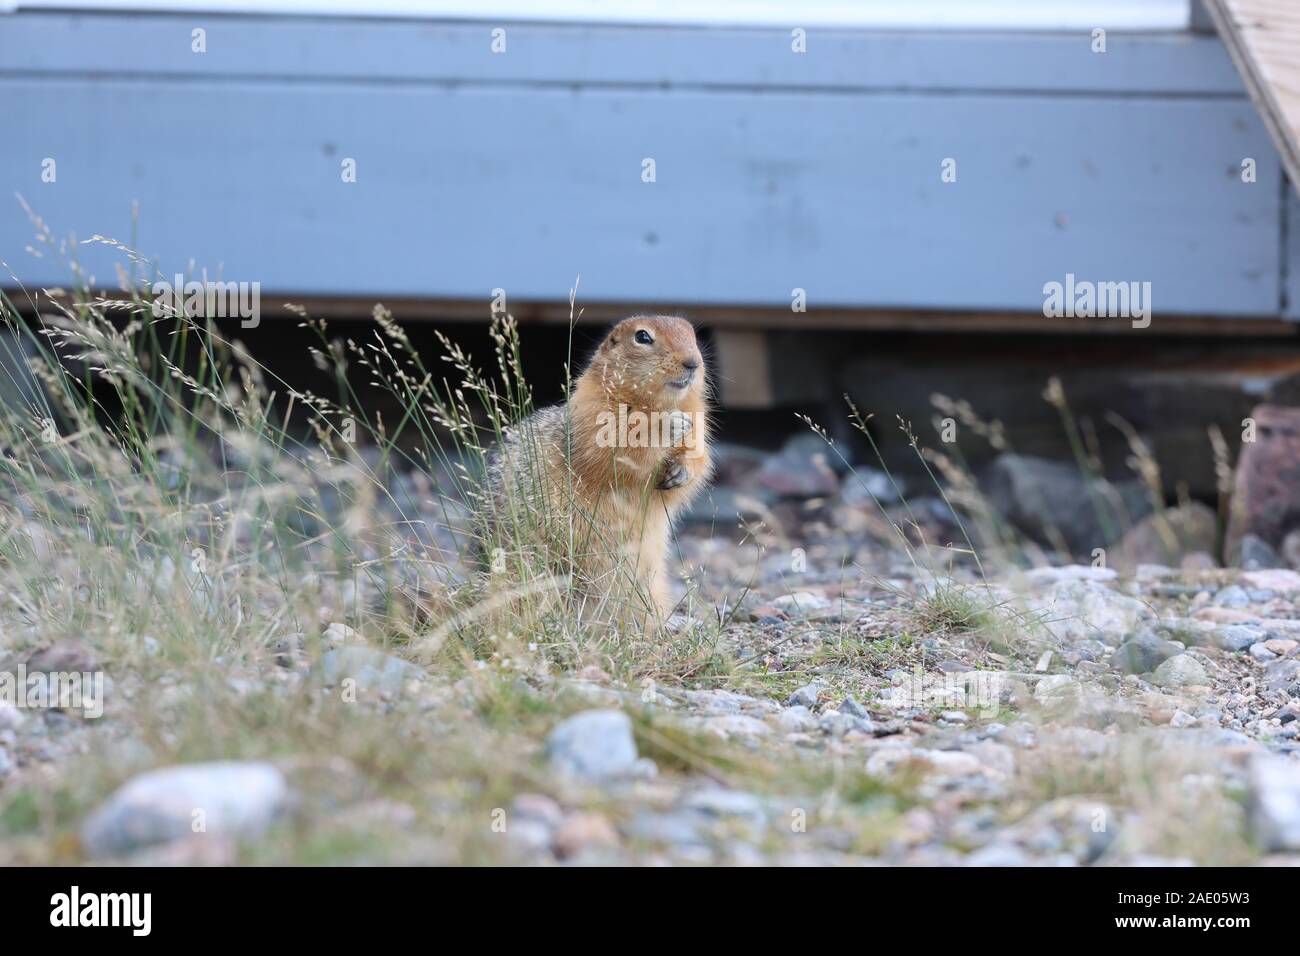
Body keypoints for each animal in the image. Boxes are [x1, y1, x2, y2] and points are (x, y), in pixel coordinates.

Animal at [485, 314, 712, 624]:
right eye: (643, 337)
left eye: (692, 335)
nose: (693, 363)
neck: (656, 403)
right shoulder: (592, 412)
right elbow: (614, 446)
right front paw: (666, 425)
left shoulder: (698, 423)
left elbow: (698, 456)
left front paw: (682, 471)